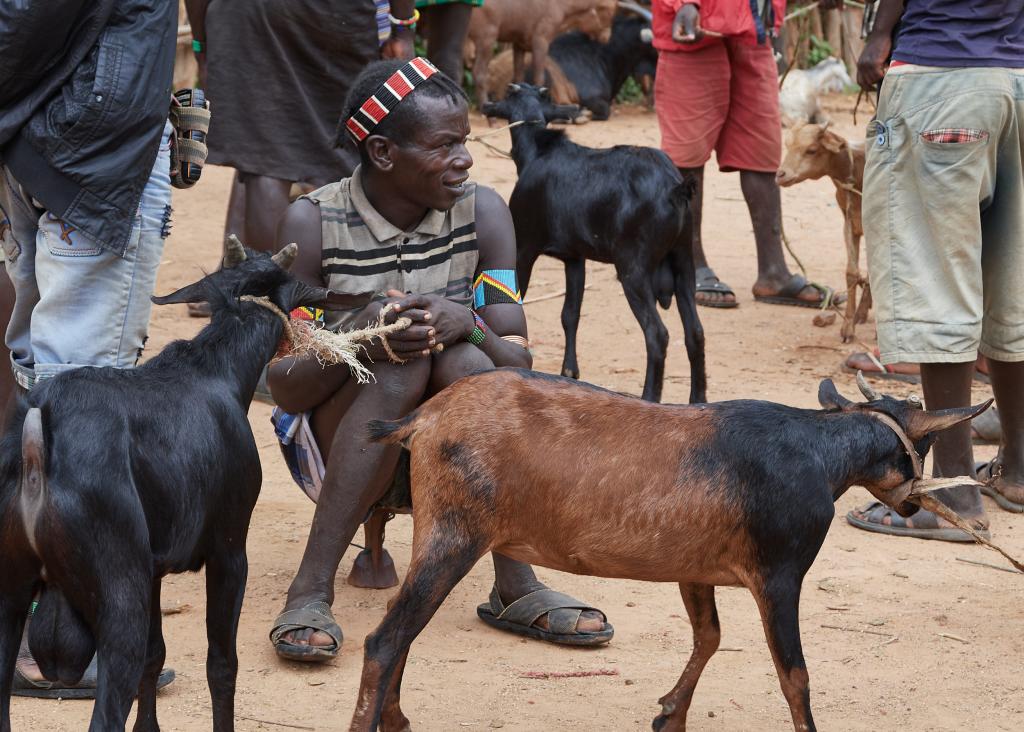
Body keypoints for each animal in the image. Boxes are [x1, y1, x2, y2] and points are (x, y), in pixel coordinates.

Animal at [0, 240, 352, 732]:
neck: (215, 368)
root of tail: (39, 442)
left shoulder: (153, 567)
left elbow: (156, 654)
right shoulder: (229, 553)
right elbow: (222, 664)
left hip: (12, 595)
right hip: (119, 595)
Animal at [348, 372, 987, 732]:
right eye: (922, 447)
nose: (914, 504)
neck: (820, 450)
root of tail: (425, 417)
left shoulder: (694, 568)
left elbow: (709, 637)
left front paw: (669, 714)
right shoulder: (780, 573)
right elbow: (795, 676)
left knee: (403, 632)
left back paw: (398, 720)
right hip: (455, 533)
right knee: (386, 639)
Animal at [466, 0, 614, 106]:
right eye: (608, 11)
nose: (607, 37)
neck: (560, 6)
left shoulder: (519, 44)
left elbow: (519, 77)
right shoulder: (540, 42)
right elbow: (539, 78)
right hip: (486, 40)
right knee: (479, 74)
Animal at [481, 86, 704, 407]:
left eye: (510, 93)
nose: (487, 104)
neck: (537, 151)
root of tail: (676, 188)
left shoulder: (525, 246)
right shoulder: (575, 258)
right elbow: (570, 314)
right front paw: (569, 372)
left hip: (633, 269)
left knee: (657, 334)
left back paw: (649, 396)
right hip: (684, 261)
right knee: (695, 332)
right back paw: (698, 399)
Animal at [778, 124, 868, 341]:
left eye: (811, 150)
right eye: (787, 145)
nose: (780, 175)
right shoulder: (849, 223)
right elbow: (852, 272)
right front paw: (848, 327)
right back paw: (862, 314)